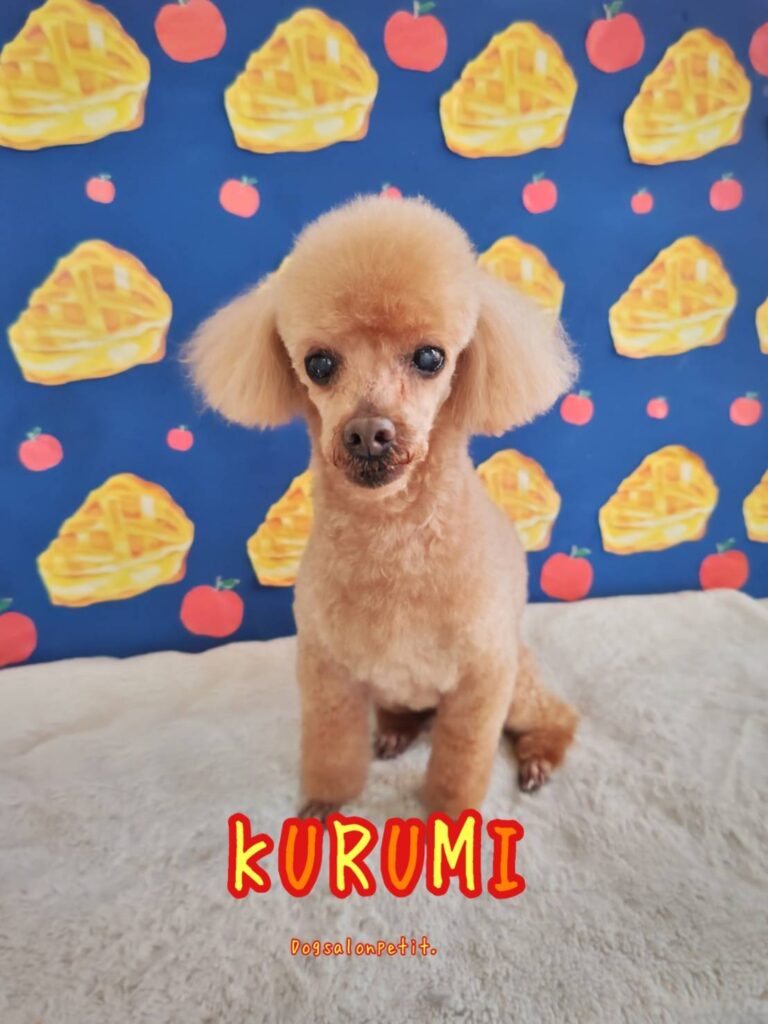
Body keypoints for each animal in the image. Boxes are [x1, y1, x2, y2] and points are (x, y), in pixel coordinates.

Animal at [186, 195, 579, 819]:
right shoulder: (326, 670)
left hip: (518, 681)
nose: (369, 432)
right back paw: (395, 731)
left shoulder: (484, 679)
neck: (393, 536)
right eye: (319, 364)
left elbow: (463, 758)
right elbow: (330, 743)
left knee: (556, 715)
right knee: (406, 711)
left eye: (430, 357)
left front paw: (449, 817)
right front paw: (325, 802)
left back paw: (539, 756)